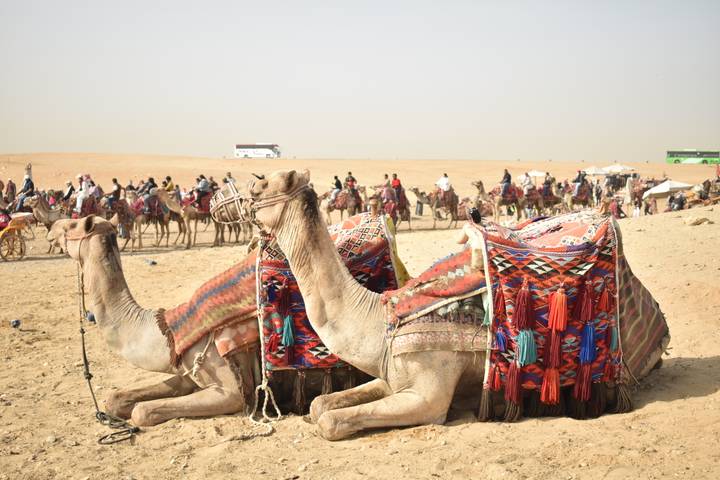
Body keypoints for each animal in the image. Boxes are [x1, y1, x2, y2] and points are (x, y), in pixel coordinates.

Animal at [46, 216, 256, 426]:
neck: (164, 334)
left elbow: (141, 411)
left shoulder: (229, 390)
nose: (51, 228)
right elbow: (115, 399)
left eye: (72, 224)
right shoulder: (183, 372)